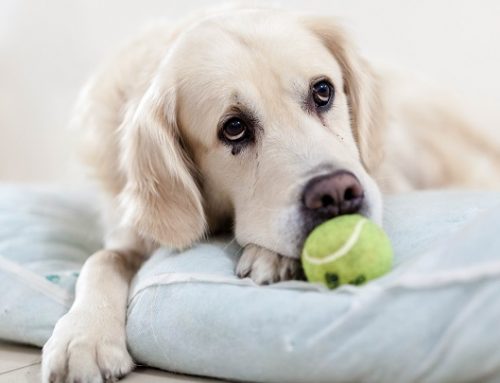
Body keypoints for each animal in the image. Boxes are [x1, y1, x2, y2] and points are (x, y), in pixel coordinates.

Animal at [41, 6, 498, 383]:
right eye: (234, 128)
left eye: (323, 91)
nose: (336, 194)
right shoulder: (131, 232)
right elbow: (101, 260)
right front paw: (83, 336)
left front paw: (272, 255)